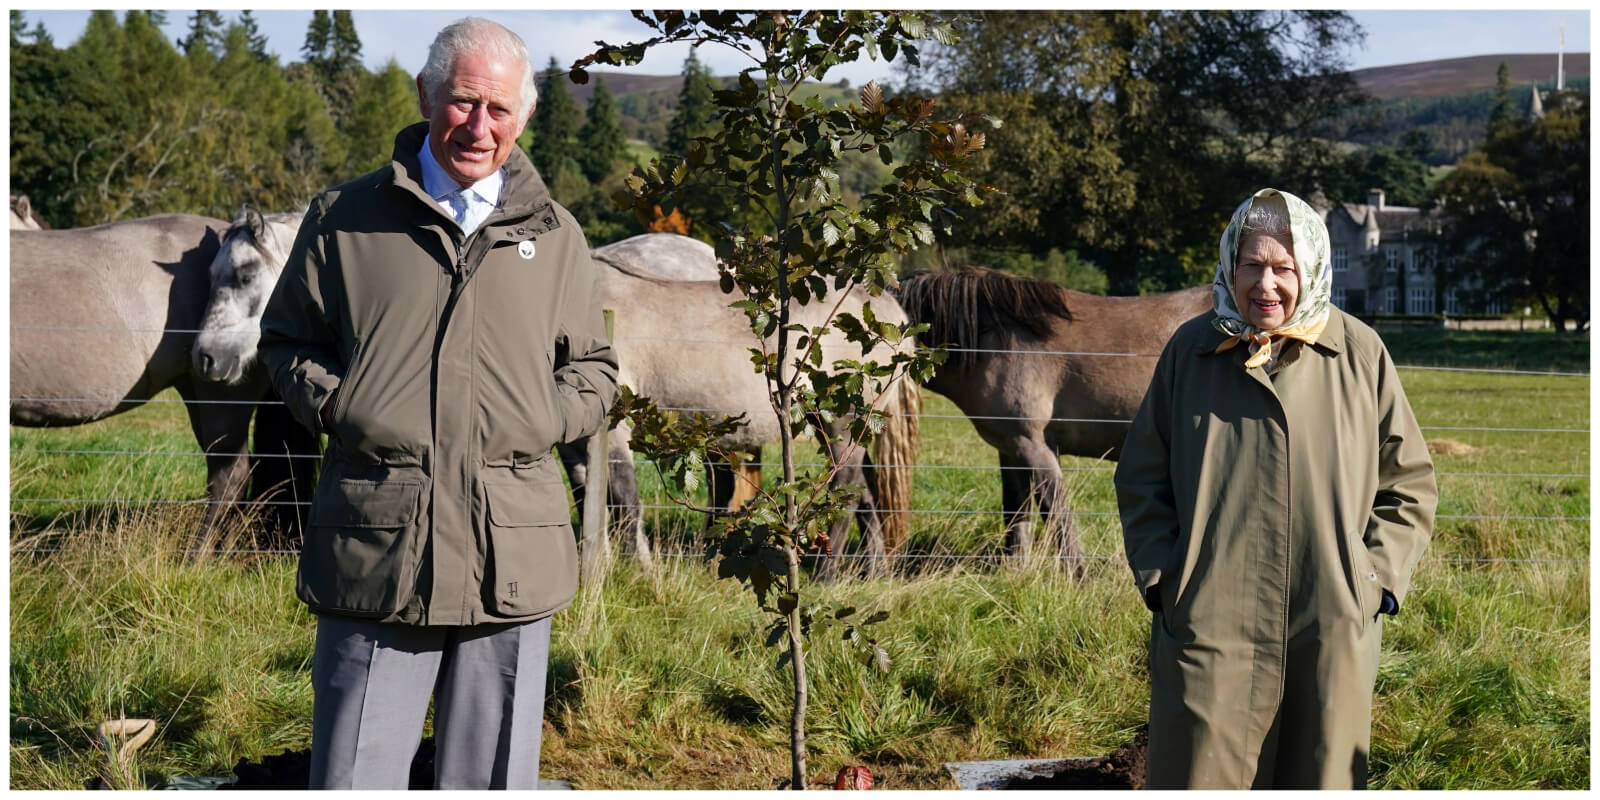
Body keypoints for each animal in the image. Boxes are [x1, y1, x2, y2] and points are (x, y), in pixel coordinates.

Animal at [566, 235, 921, 576]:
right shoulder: (575, 446)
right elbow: (586, 498)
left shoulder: (614, 430)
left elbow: (625, 503)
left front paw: (641, 572)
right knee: (864, 494)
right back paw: (875, 572)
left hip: (842, 421)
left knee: (847, 491)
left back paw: (825, 575)